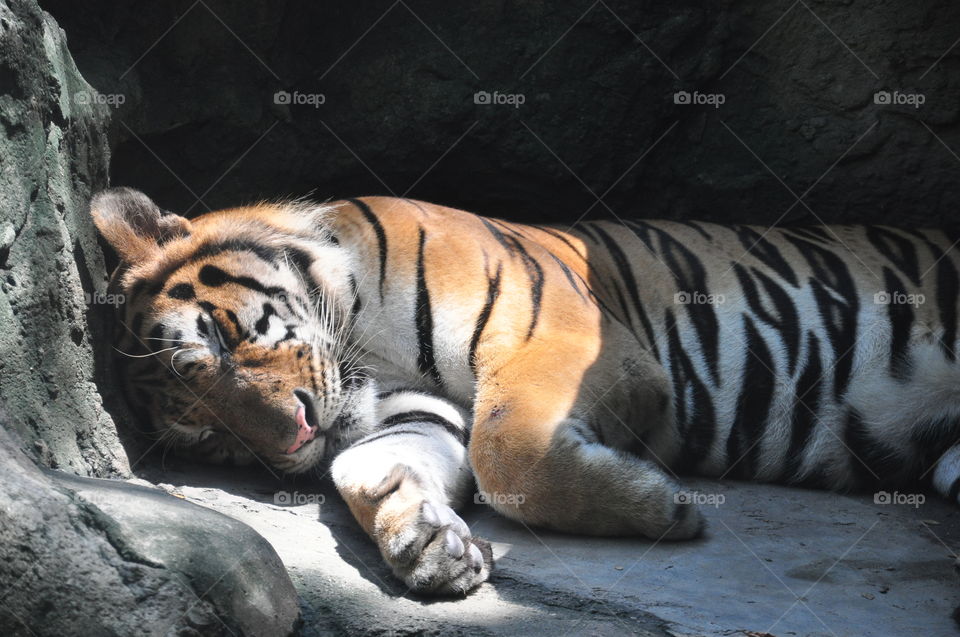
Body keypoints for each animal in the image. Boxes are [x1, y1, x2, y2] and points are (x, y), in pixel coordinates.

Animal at [91, 186, 960, 596]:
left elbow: (508, 449)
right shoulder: (412, 411)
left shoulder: (568, 338)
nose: (294, 435)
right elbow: (368, 466)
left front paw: (662, 504)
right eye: (212, 439)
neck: (365, 343)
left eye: (219, 337)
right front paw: (428, 545)